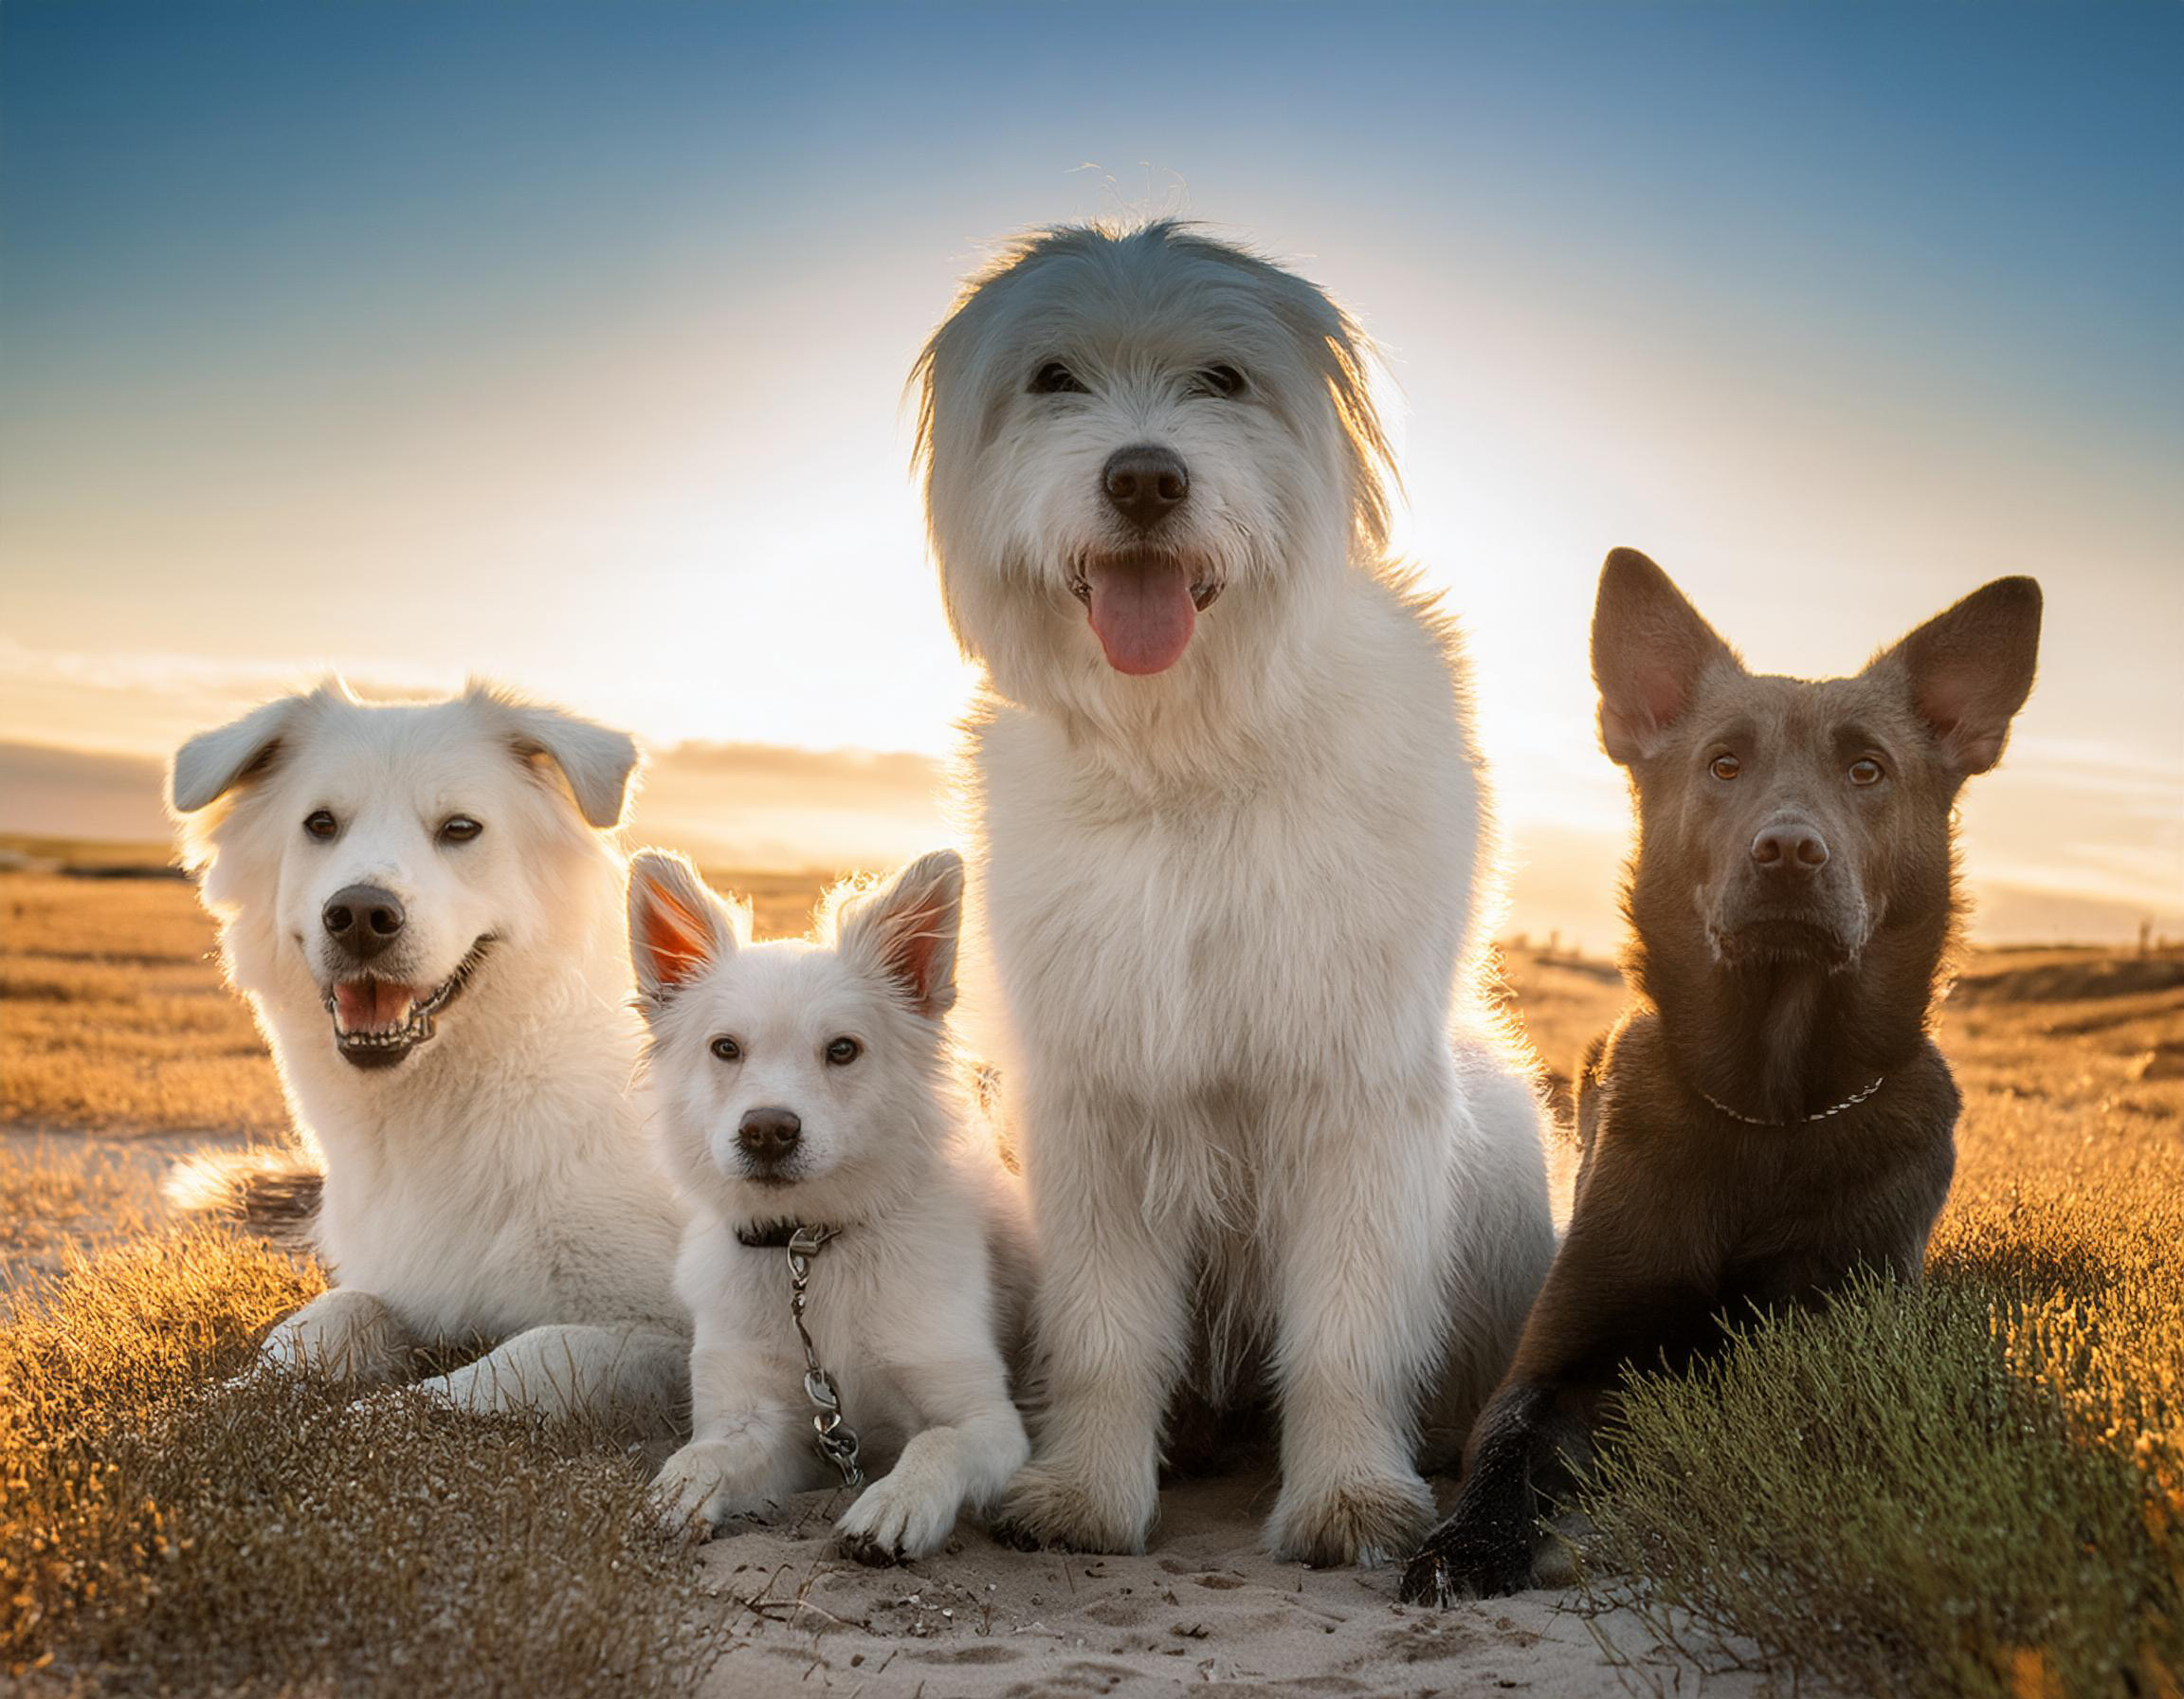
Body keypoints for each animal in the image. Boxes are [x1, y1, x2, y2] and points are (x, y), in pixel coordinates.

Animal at [168, 681, 681, 1423]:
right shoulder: (406, 1285)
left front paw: (357, 1419)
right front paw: (207, 1407)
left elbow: (518, 1362)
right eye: (320, 824)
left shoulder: (666, 1334)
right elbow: (318, 1322)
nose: (359, 916)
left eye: (461, 829)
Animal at [624, 847, 1030, 1563]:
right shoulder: (766, 1425)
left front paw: (898, 1501)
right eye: (724, 1048)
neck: (810, 1248)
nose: (767, 1131)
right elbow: (702, 1455)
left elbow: (938, 1440)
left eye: (843, 1050)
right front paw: (672, 1496)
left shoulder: (991, 1422)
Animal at [913, 221, 1563, 1563]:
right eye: (1053, 378)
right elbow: (1107, 1330)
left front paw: (1350, 1495)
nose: (1145, 480)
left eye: (1223, 379)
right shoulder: (1097, 1095)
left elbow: (1351, 1330)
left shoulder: (1357, 1090)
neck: (1194, 754)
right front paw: (1087, 1491)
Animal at [1406, 550, 2035, 1599]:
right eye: (1724, 764)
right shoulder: (1558, 1351)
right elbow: (1505, 1436)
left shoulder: (1832, 1332)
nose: (1788, 850)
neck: (1769, 1112)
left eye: (1868, 769)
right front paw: (1467, 1543)